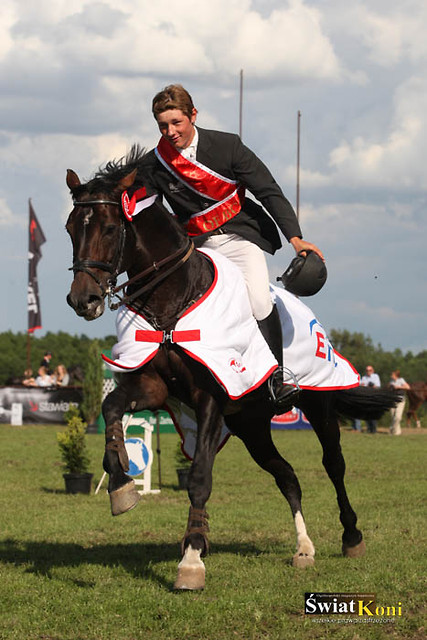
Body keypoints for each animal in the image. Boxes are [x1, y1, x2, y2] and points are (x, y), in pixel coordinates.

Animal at [64, 146, 398, 592]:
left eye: (109, 226)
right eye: (70, 228)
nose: (82, 300)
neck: (172, 301)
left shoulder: (210, 398)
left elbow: (200, 478)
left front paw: (191, 560)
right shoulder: (152, 386)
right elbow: (112, 409)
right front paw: (121, 486)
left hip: (317, 407)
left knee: (333, 465)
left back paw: (351, 537)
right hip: (251, 424)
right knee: (287, 475)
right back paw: (303, 548)